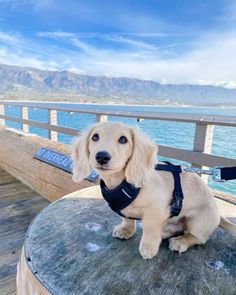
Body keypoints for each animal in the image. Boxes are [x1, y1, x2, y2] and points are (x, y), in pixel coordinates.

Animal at [72, 121, 236, 260]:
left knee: (199, 238)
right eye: (95, 137)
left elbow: (149, 227)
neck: (122, 183)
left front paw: (148, 247)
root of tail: (219, 215)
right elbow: (128, 219)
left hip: (197, 221)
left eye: (123, 139)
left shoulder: (157, 210)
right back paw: (166, 231)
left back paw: (181, 241)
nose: (102, 156)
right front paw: (125, 230)